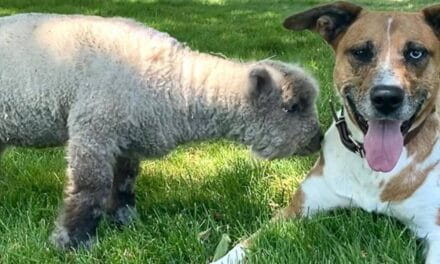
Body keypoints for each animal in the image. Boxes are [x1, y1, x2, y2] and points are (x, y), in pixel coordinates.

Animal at [0, 12, 322, 250]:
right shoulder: (95, 129)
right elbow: (91, 189)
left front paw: (126, 222)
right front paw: (72, 242)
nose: (318, 140)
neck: (175, 86)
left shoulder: (126, 138)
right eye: (291, 107)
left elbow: (124, 184)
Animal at [212, 2, 440, 264]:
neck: (371, 170)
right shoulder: (296, 209)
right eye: (361, 52)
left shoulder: (435, 229)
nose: (386, 98)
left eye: (416, 53)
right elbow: (240, 247)